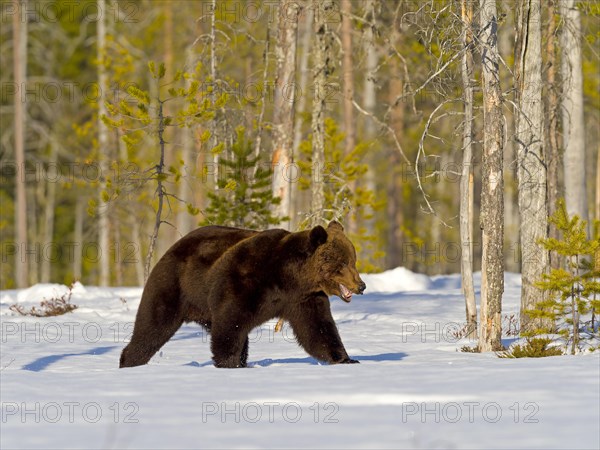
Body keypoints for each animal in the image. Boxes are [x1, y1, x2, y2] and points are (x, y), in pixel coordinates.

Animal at [119, 221, 366, 370]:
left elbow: (318, 330)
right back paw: (129, 361)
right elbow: (231, 323)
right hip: (173, 287)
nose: (361, 285)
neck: (289, 277)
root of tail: (171, 248)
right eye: (343, 263)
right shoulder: (245, 281)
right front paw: (230, 364)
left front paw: (346, 358)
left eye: (353, 260)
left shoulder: (303, 299)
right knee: (152, 327)